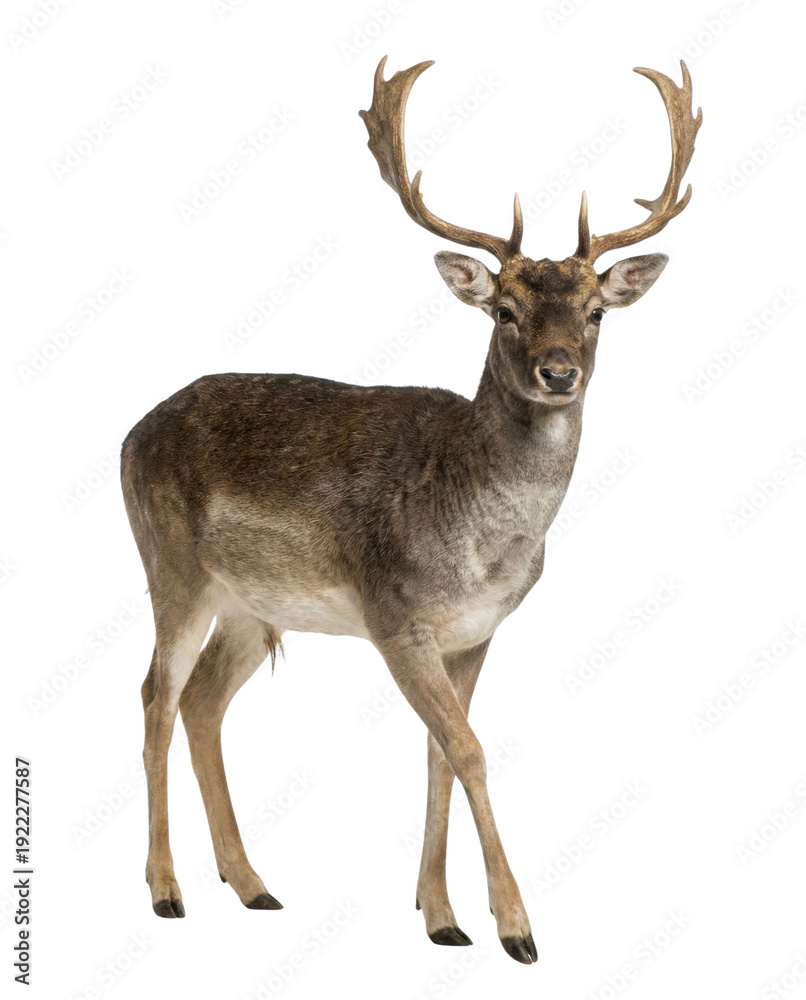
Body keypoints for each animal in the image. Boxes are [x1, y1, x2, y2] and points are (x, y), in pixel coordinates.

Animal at [120, 56, 700, 964]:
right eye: (504, 310)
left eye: (596, 312)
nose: (559, 372)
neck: (482, 542)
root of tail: (127, 434)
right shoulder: (395, 614)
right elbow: (469, 748)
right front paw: (517, 929)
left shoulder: (476, 631)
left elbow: (438, 754)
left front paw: (441, 917)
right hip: (170, 565)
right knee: (154, 693)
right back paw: (167, 891)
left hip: (251, 604)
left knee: (204, 699)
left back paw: (252, 884)